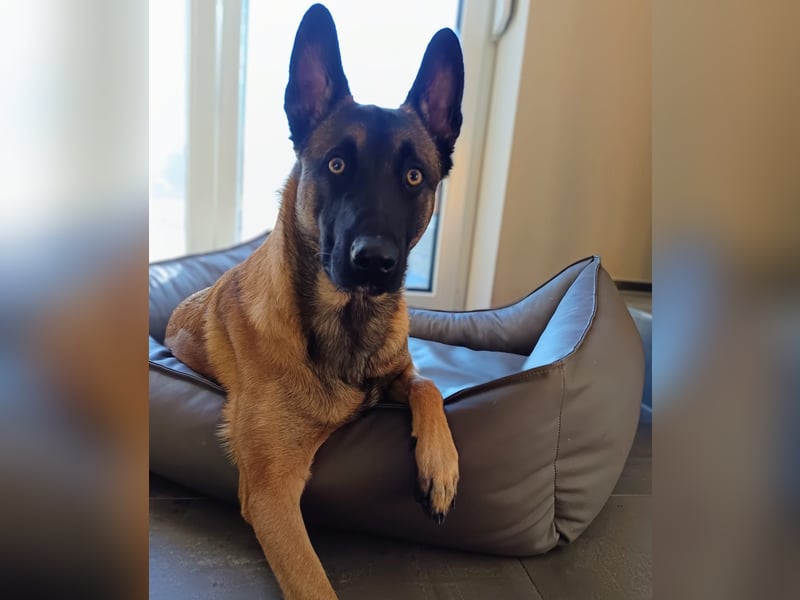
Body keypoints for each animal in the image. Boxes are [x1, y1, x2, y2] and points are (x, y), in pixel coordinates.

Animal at [165, 4, 464, 598]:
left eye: (414, 176)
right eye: (336, 165)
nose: (374, 261)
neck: (347, 321)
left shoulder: (401, 371)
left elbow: (428, 384)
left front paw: (440, 463)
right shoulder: (272, 493)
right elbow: (313, 584)